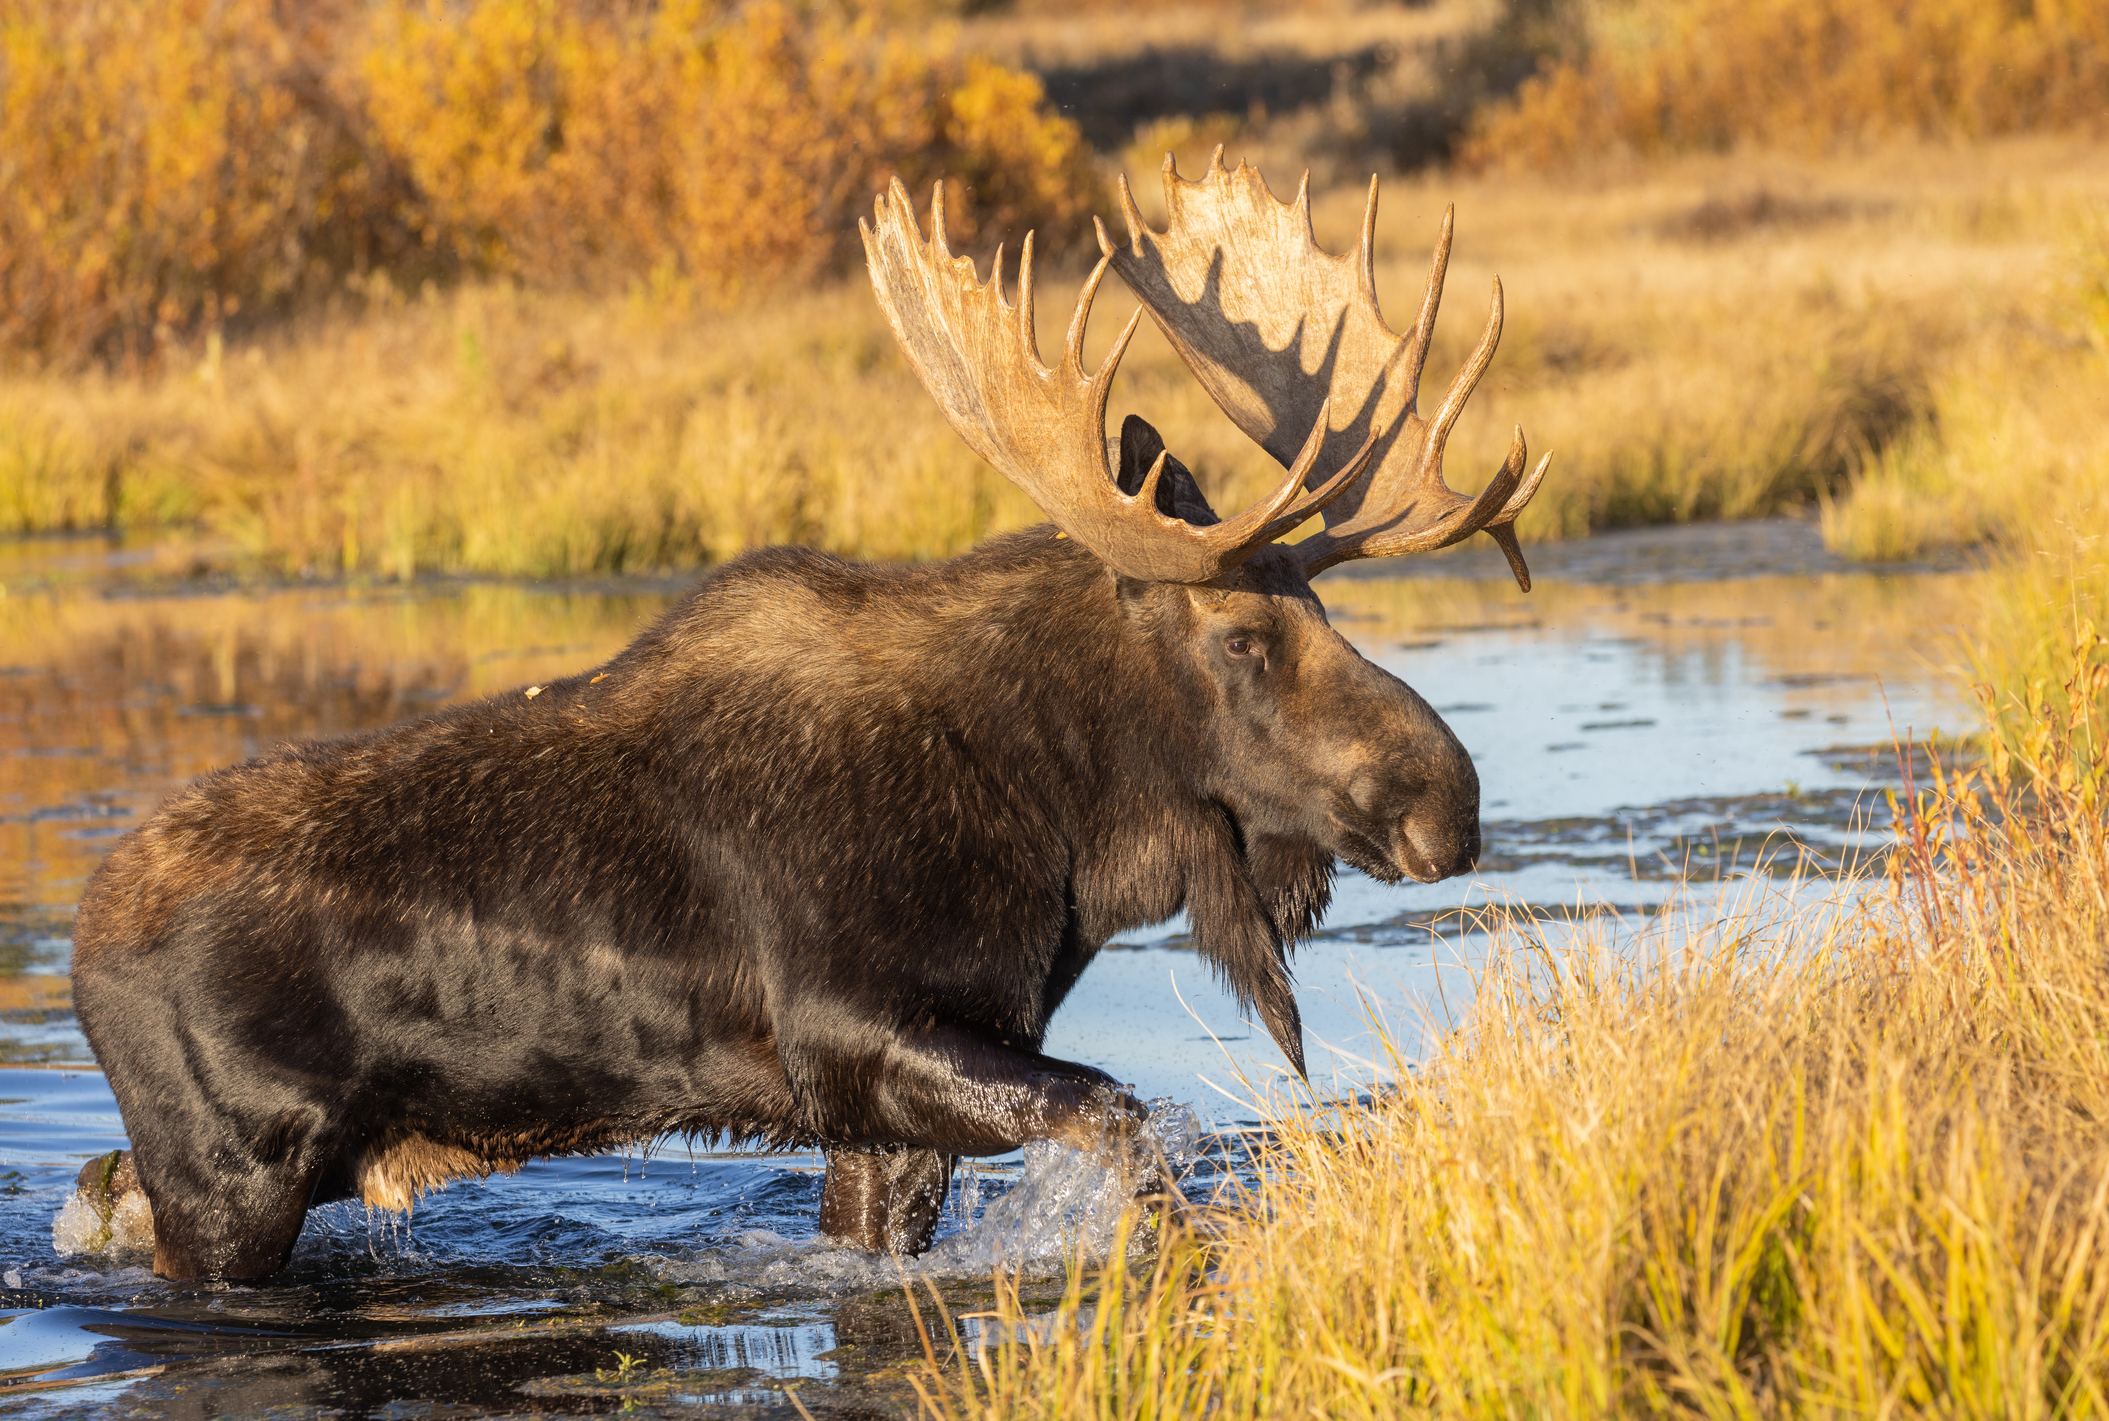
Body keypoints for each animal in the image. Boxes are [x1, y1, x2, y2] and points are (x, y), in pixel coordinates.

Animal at [74, 154, 1552, 1273]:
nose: (1451, 800)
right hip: (234, 1173)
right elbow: (1127, 1126)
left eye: (1325, 610)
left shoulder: (907, 1081)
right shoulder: (849, 1032)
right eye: (1244, 636)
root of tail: (85, 947)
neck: (1060, 819)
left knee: (97, 1185)